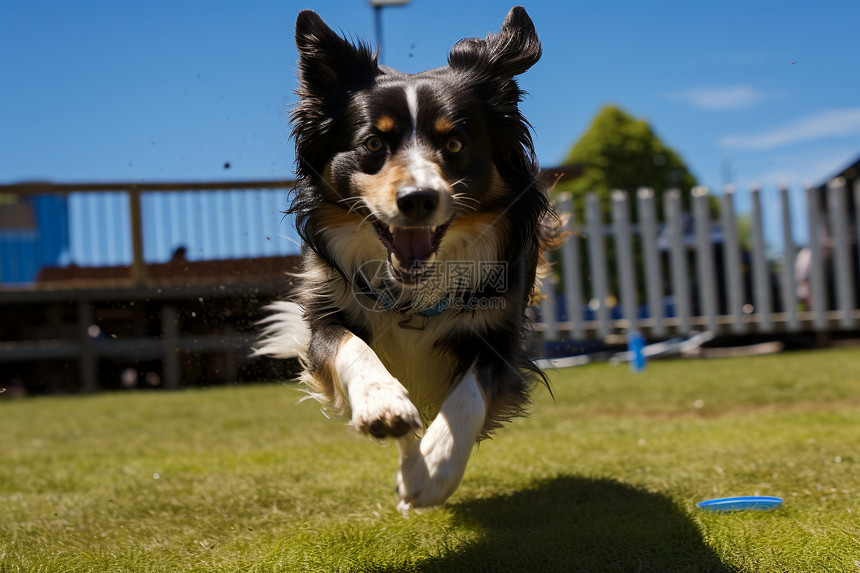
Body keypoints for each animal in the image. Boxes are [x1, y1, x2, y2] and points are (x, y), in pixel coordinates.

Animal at [258, 3, 556, 504]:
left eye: (454, 143)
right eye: (373, 144)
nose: (418, 199)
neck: (413, 293)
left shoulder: (499, 335)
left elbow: (468, 396)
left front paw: (434, 467)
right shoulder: (326, 316)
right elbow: (352, 347)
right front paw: (384, 405)